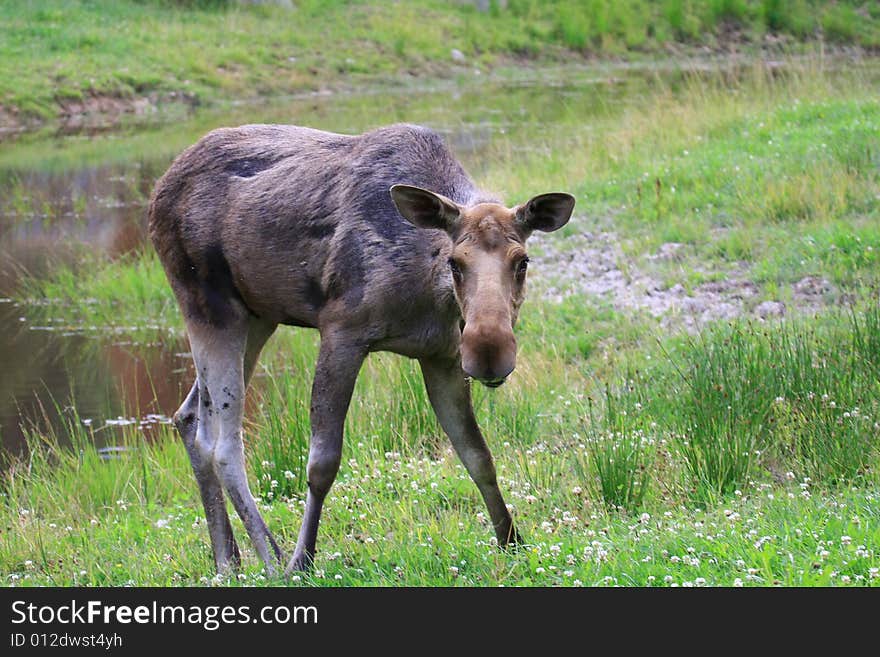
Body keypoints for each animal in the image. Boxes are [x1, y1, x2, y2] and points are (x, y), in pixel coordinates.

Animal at [148, 124, 576, 576]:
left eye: (522, 261)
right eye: (455, 262)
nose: (488, 350)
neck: (426, 290)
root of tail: (157, 193)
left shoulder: (441, 356)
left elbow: (477, 454)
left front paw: (511, 540)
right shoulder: (341, 331)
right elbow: (322, 462)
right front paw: (304, 557)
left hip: (258, 316)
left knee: (189, 417)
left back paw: (227, 558)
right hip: (209, 306)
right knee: (224, 445)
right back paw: (272, 556)